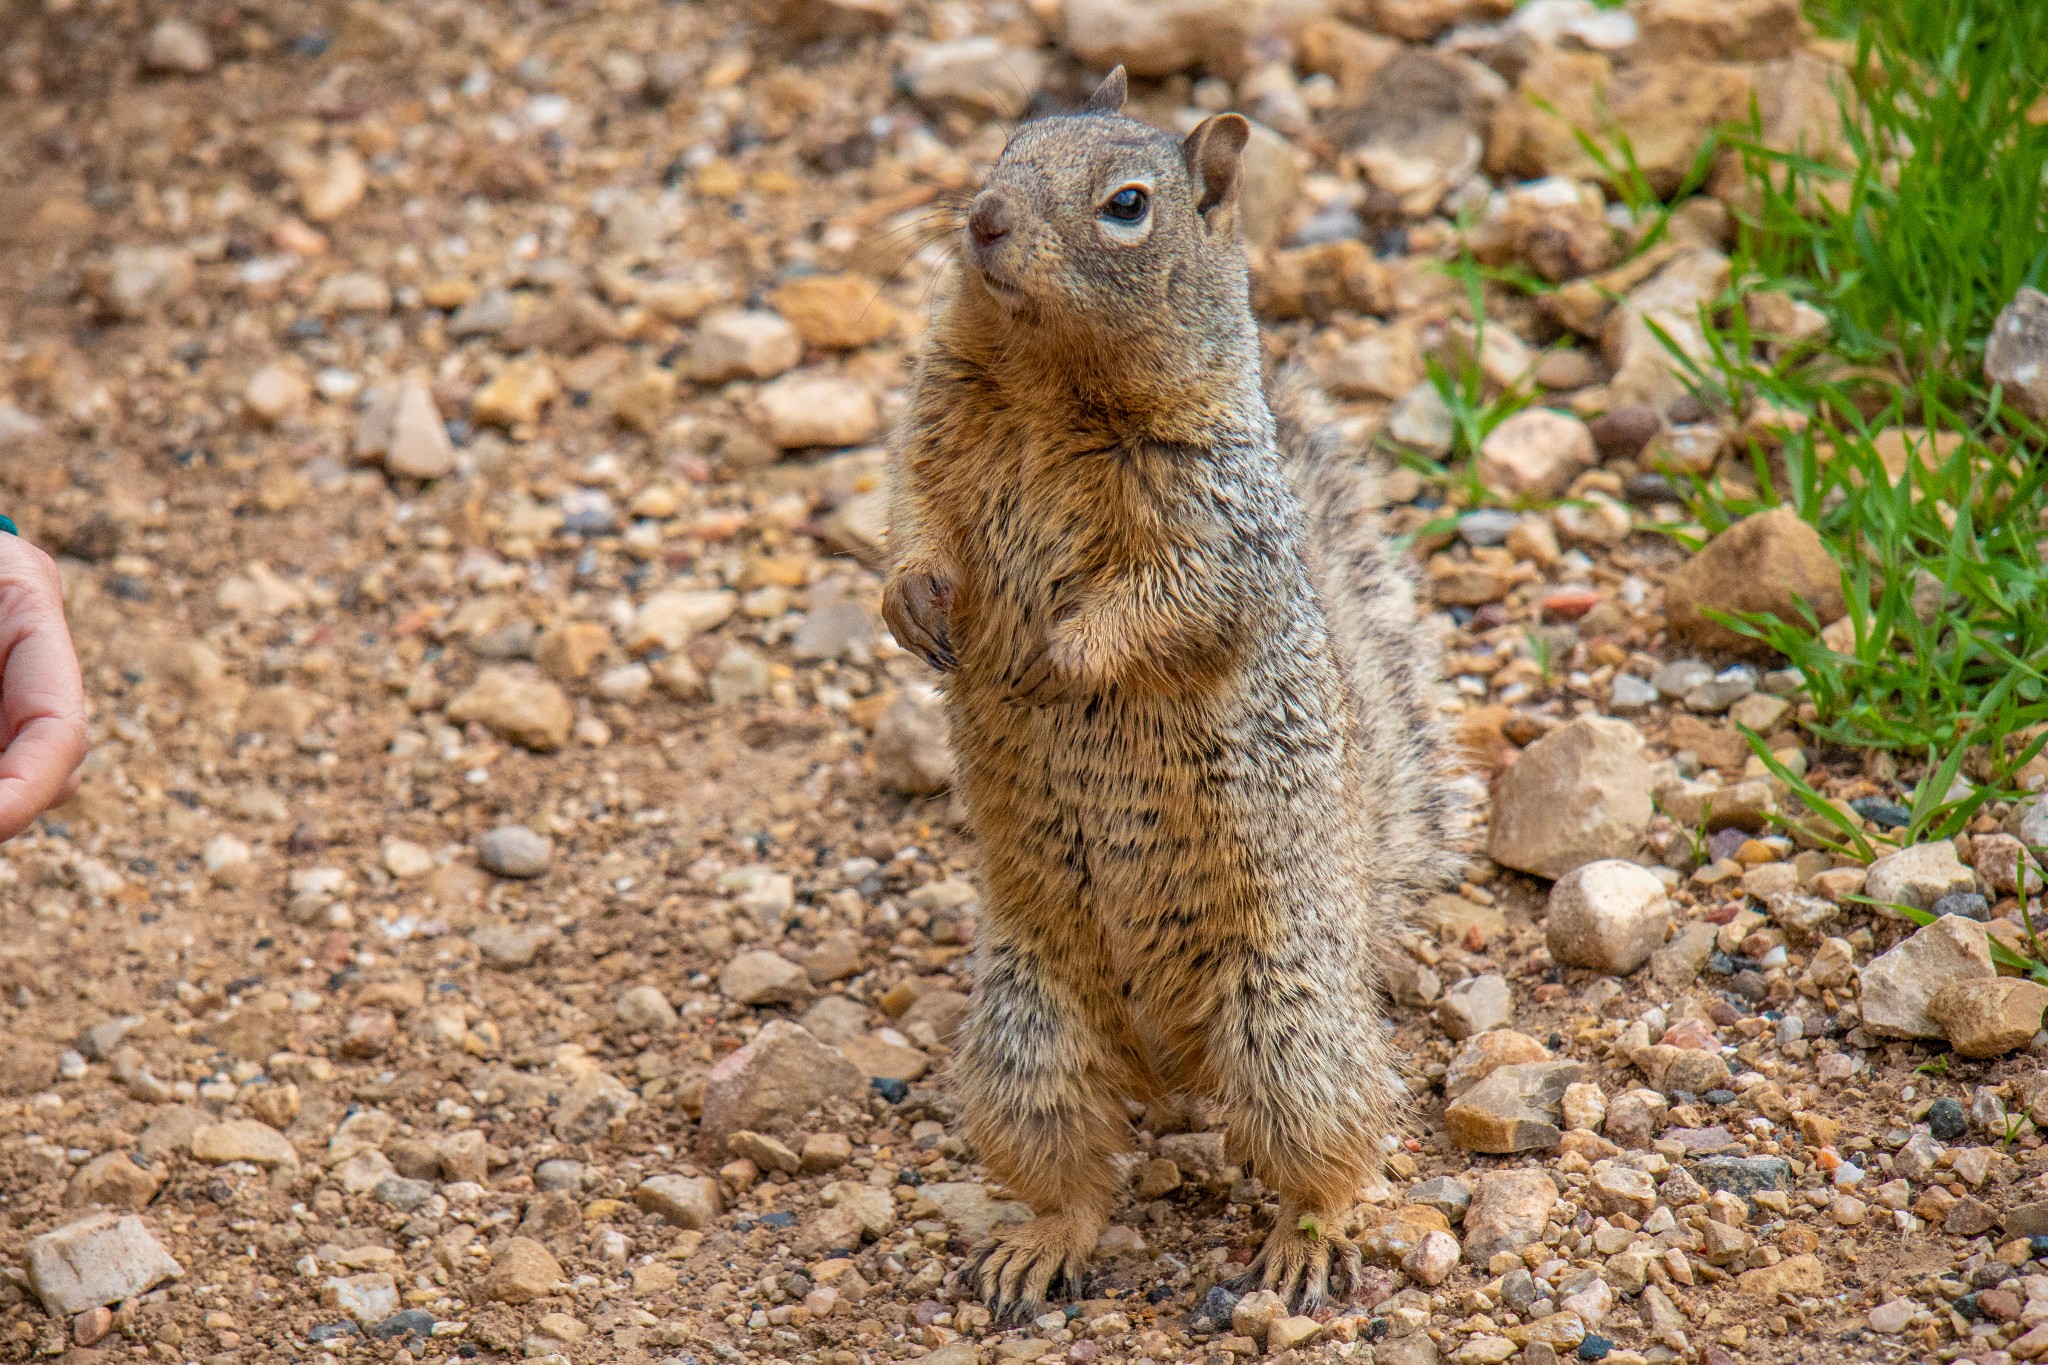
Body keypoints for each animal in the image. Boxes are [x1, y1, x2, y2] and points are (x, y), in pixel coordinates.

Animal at [888, 69, 1466, 1317]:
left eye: (1126, 205)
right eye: (1007, 146)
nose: (983, 220)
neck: (1044, 382)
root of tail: (1169, 1071)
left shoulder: (1210, 521)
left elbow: (1164, 606)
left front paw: (1053, 660)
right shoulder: (929, 429)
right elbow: (908, 517)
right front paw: (913, 607)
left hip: (1286, 1035)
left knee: (1337, 1148)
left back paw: (1304, 1243)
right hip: (1025, 1043)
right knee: (1076, 1176)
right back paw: (1035, 1246)